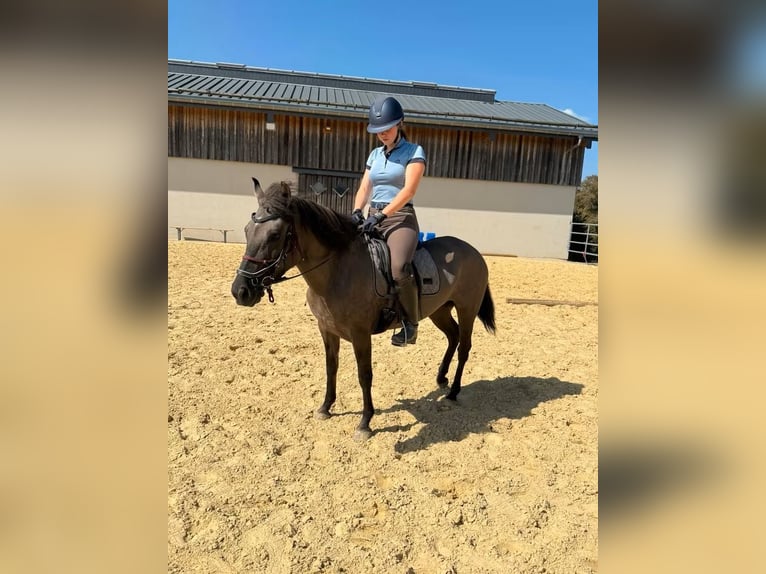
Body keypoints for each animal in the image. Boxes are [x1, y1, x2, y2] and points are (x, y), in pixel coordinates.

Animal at [231, 179, 496, 441]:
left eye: (275, 235)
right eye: (246, 230)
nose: (240, 291)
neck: (336, 273)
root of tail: (472, 251)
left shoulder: (360, 334)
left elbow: (364, 374)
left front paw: (365, 423)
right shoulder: (327, 329)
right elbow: (331, 367)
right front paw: (325, 408)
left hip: (467, 309)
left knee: (464, 346)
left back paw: (453, 392)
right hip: (439, 311)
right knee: (452, 336)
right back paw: (441, 378)